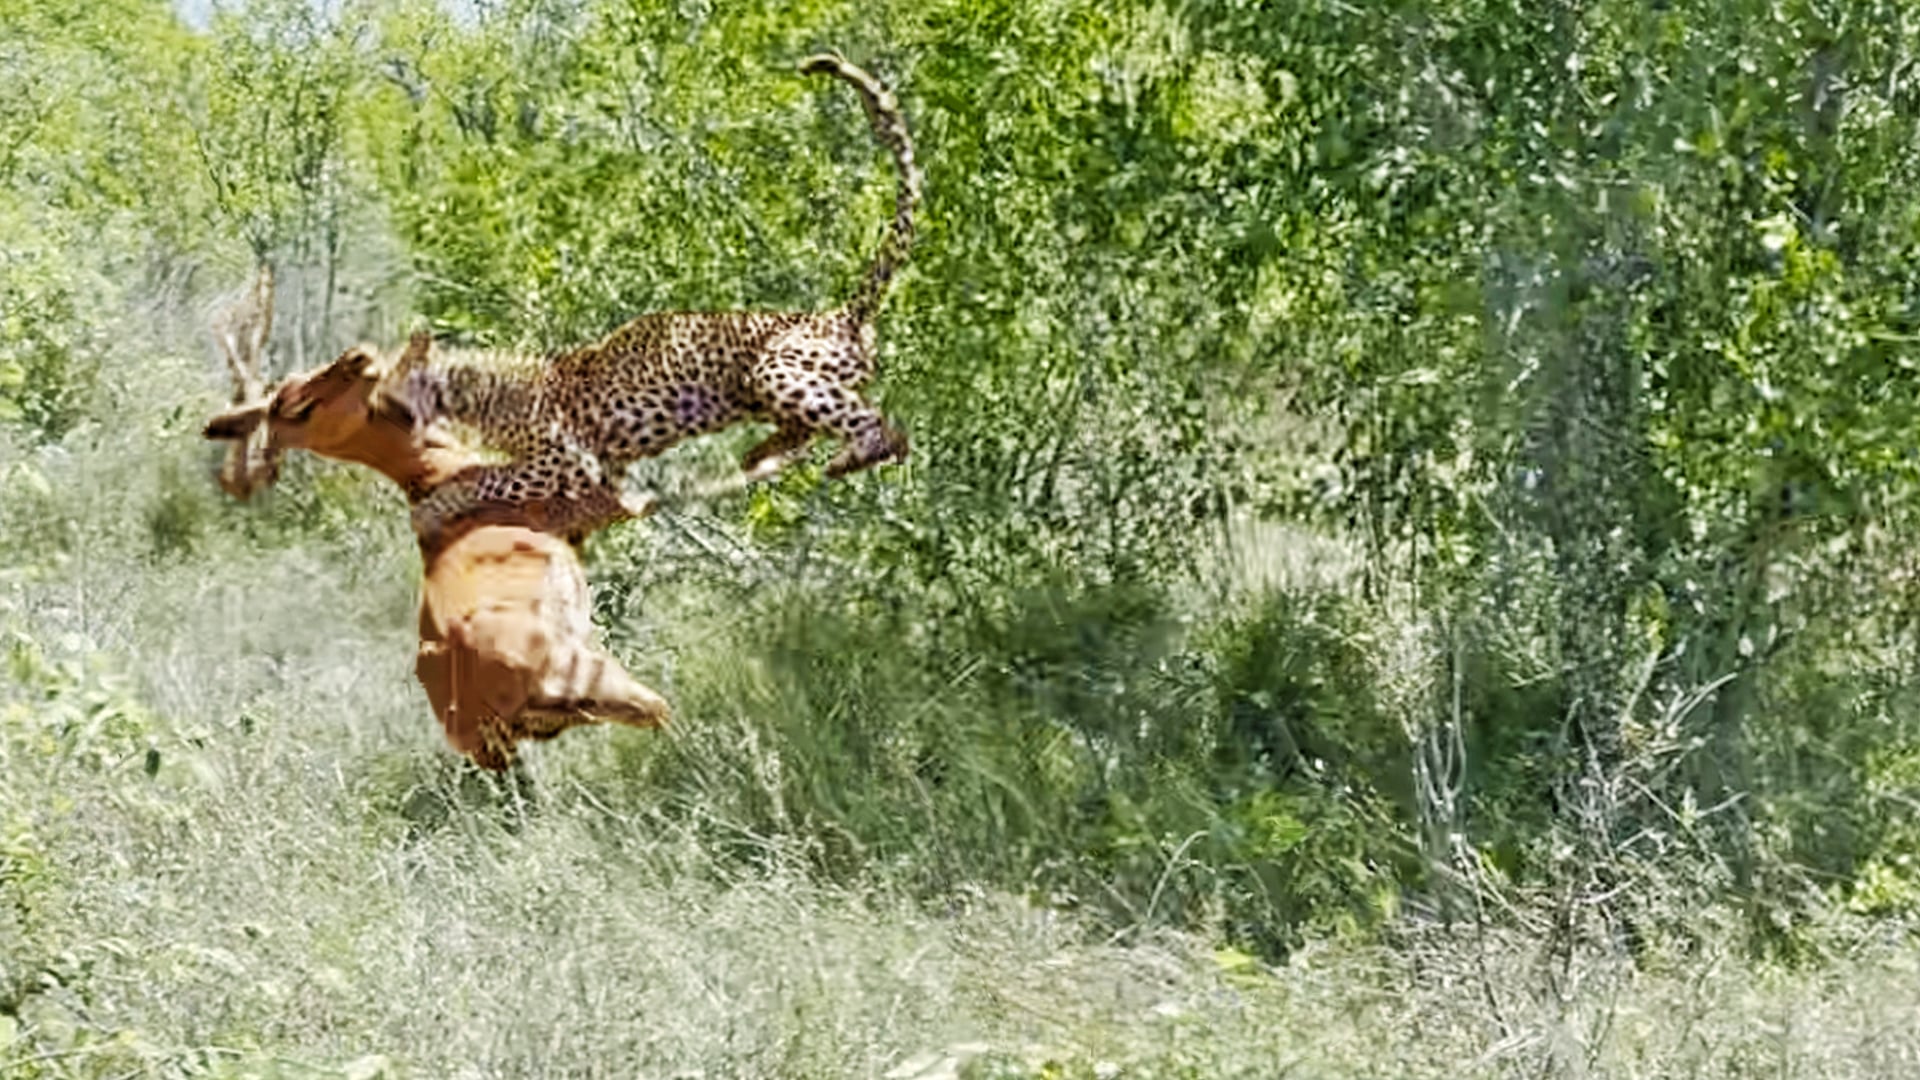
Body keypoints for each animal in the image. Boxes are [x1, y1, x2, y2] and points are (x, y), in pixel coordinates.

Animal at [395, 50, 921, 544]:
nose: (385, 403)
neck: (475, 394)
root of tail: (840, 315)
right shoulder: (602, 468)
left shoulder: (563, 459)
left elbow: (485, 479)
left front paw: (432, 510)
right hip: (765, 390)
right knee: (814, 425)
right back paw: (760, 454)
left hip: (777, 368)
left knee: (884, 428)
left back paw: (852, 453)